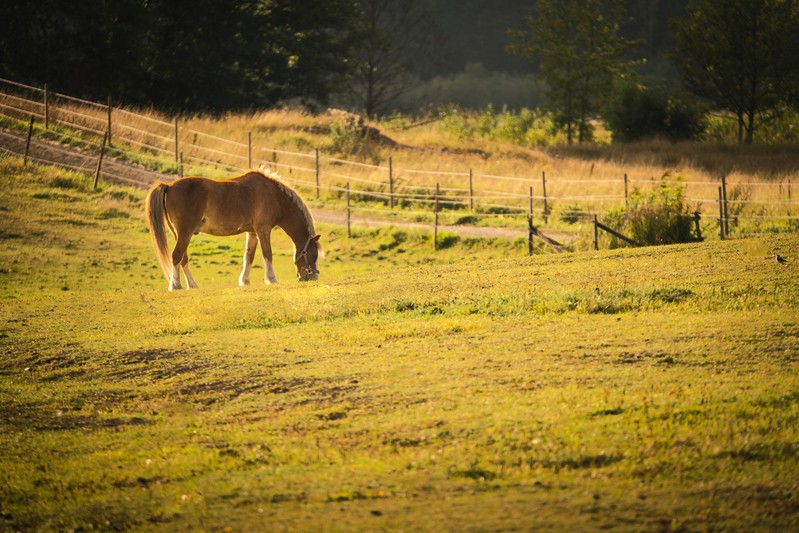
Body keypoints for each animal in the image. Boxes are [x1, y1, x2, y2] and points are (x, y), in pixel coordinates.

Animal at [145, 167, 320, 288]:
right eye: (314, 255)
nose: (312, 277)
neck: (274, 196)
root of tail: (168, 186)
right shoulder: (263, 229)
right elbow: (267, 254)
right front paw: (272, 279)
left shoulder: (252, 232)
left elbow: (249, 256)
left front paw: (245, 281)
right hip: (185, 233)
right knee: (176, 256)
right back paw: (176, 286)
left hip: (180, 234)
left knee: (183, 258)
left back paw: (192, 285)